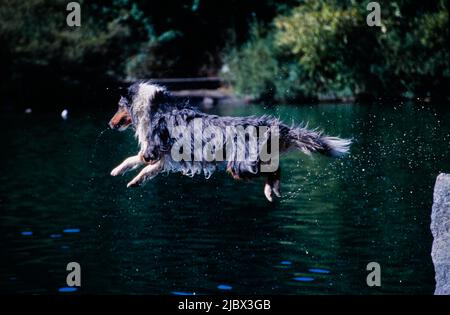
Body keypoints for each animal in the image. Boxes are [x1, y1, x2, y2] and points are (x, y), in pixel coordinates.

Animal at [109, 81, 352, 202]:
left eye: (119, 106)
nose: (110, 125)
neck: (155, 105)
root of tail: (270, 125)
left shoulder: (154, 149)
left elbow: (133, 159)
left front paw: (117, 170)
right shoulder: (166, 156)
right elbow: (147, 169)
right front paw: (134, 181)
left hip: (238, 166)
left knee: (272, 171)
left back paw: (270, 190)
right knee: (275, 170)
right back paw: (271, 191)